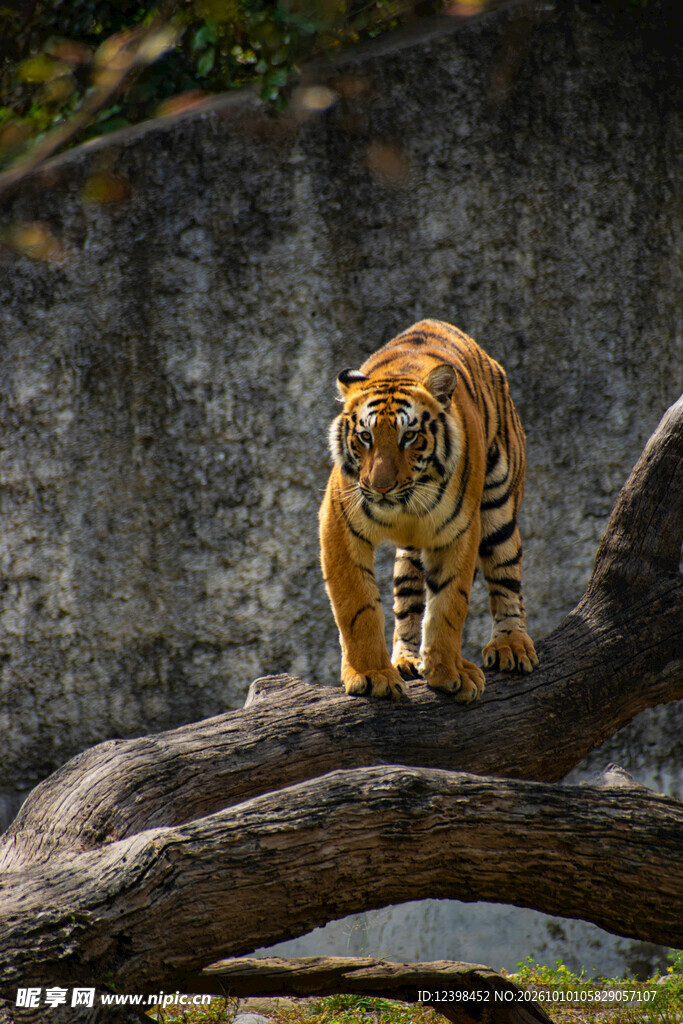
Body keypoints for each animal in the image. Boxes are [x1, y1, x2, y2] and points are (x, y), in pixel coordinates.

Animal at [319, 318, 538, 702]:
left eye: (409, 436)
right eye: (365, 437)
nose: (380, 486)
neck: (406, 504)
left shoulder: (459, 530)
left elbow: (449, 604)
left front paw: (449, 672)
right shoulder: (339, 525)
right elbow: (357, 605)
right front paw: (372, 674)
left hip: (499, 508)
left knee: (506, 578)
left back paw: (511, 645)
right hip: (409, 555)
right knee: (407, 600)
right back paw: (405, 659)